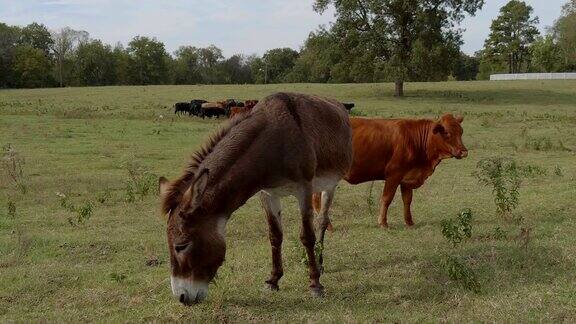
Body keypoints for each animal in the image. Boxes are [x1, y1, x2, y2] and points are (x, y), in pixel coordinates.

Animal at [316, 114, 468, 228]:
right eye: (447, 132)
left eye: (461, 131)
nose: (464, 152)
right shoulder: (394, 174)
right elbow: (386, 198)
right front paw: (383, 223)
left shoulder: (407, 178)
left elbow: (407, 200)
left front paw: (409, 222)